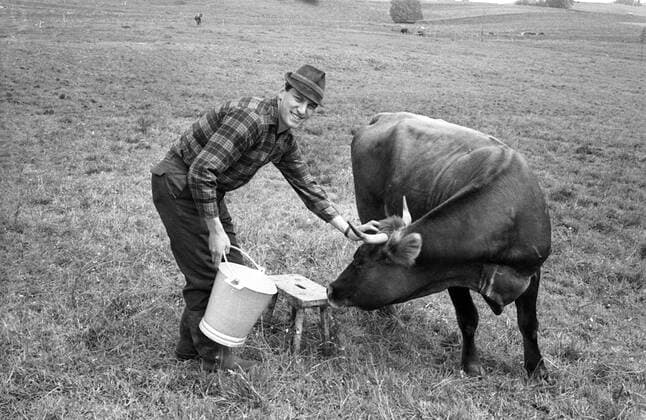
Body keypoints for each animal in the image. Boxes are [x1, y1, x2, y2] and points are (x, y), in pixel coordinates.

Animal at [327, 112, 552, 379]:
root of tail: (383, 117)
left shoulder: (532, 271)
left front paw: (537, 369)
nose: (331, 289)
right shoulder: (450, 273)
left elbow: (529, 323)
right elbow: (468, 318)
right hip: (366, 205)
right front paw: (471, 364)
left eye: (359, 260)